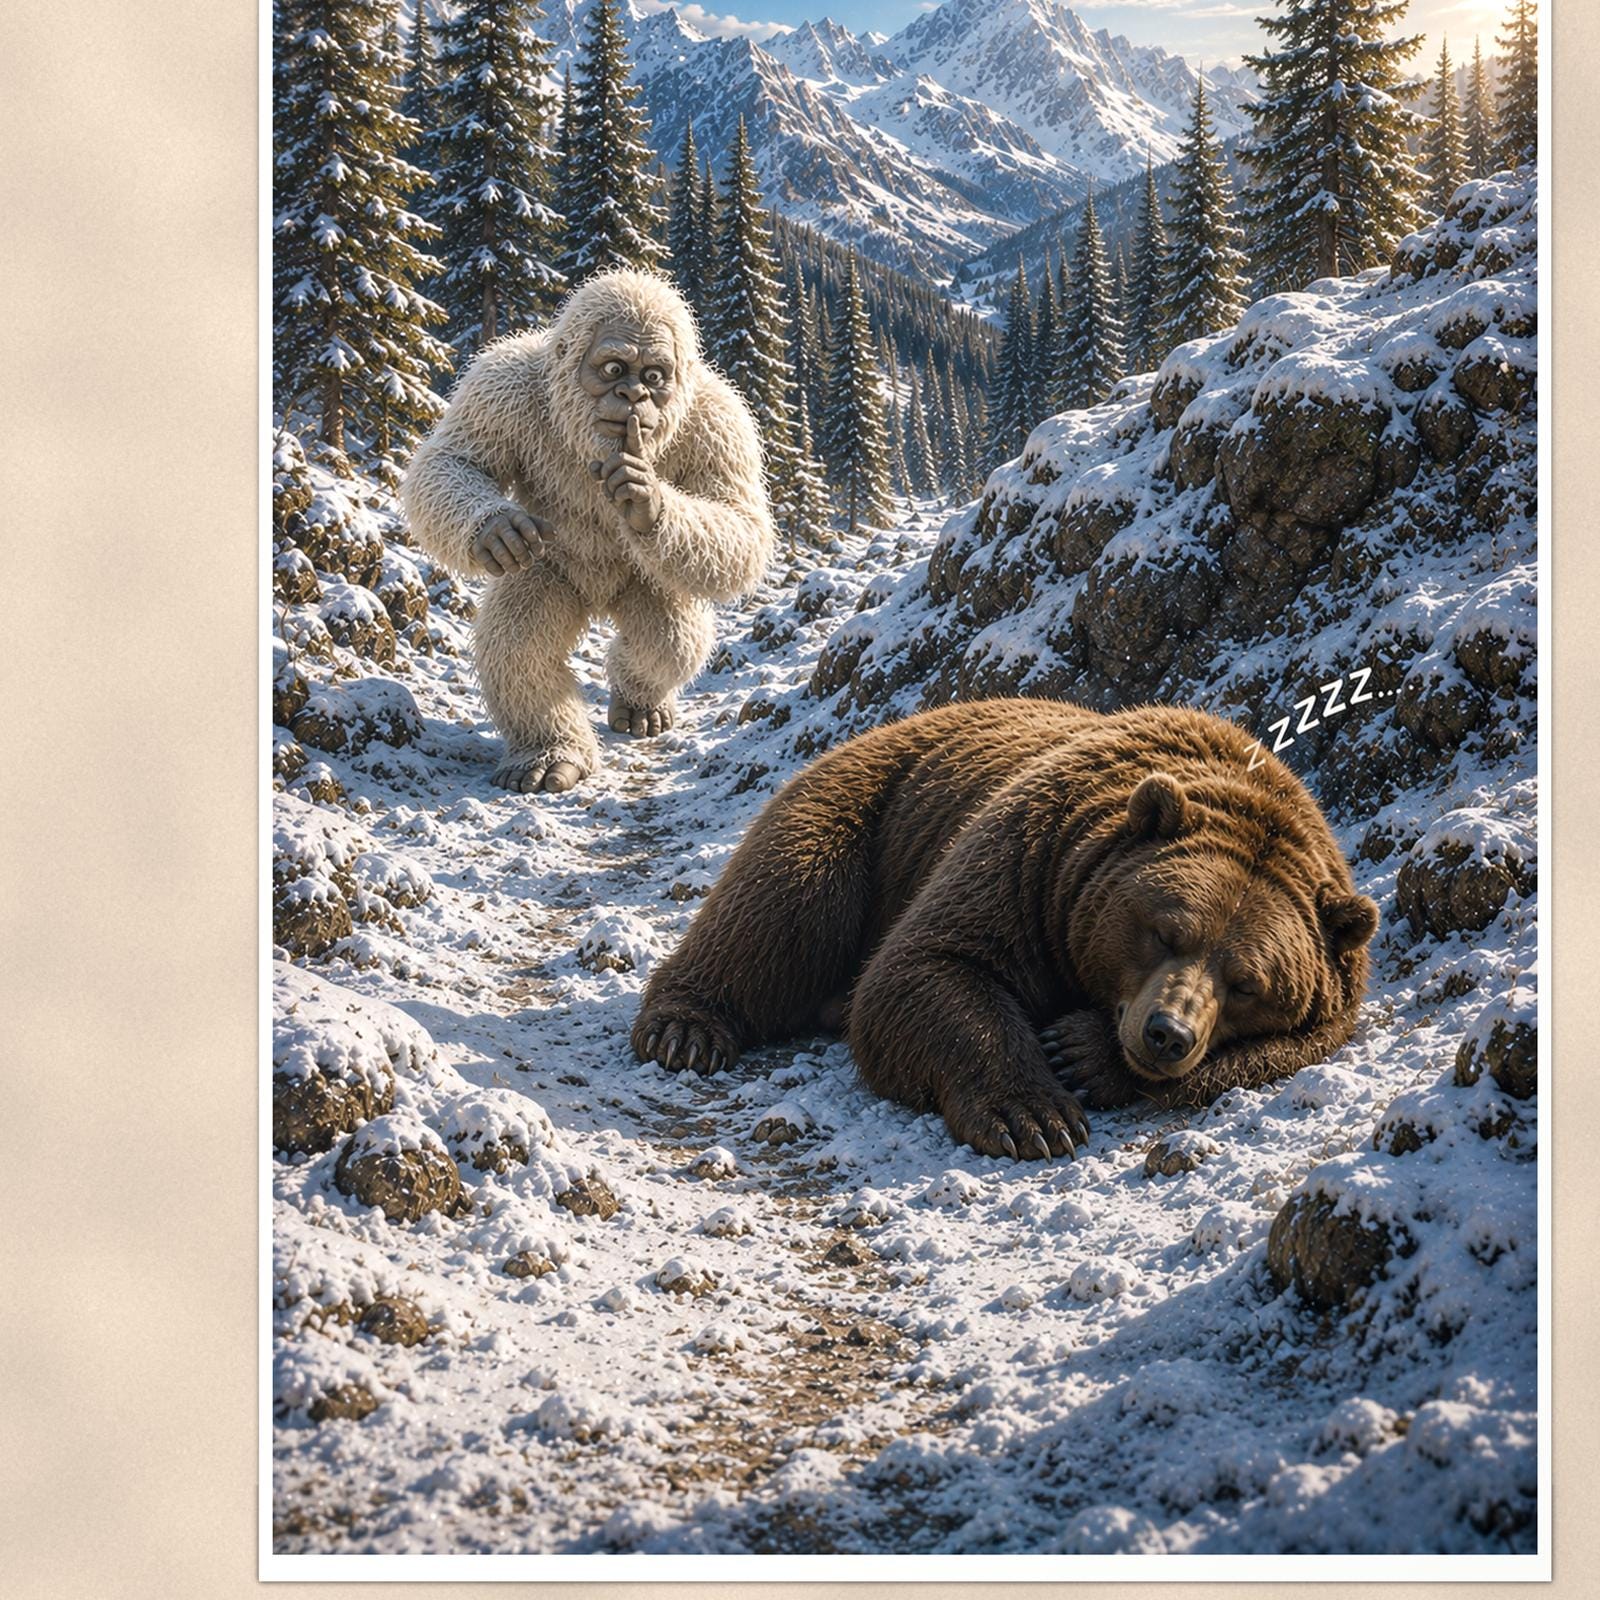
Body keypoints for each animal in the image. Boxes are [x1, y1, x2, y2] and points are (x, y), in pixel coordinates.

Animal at [632, 699, 1378, 1160]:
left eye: (1247, 983)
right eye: (1166, 932)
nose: (1167, 1033)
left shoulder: (1330, 1005)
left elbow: (1258, 1058)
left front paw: (1080, 1052)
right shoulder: (1030, 861)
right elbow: (930, 967)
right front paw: (1035, 1117)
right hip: (871, 812)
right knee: (783, 907)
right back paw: (685, 1029)